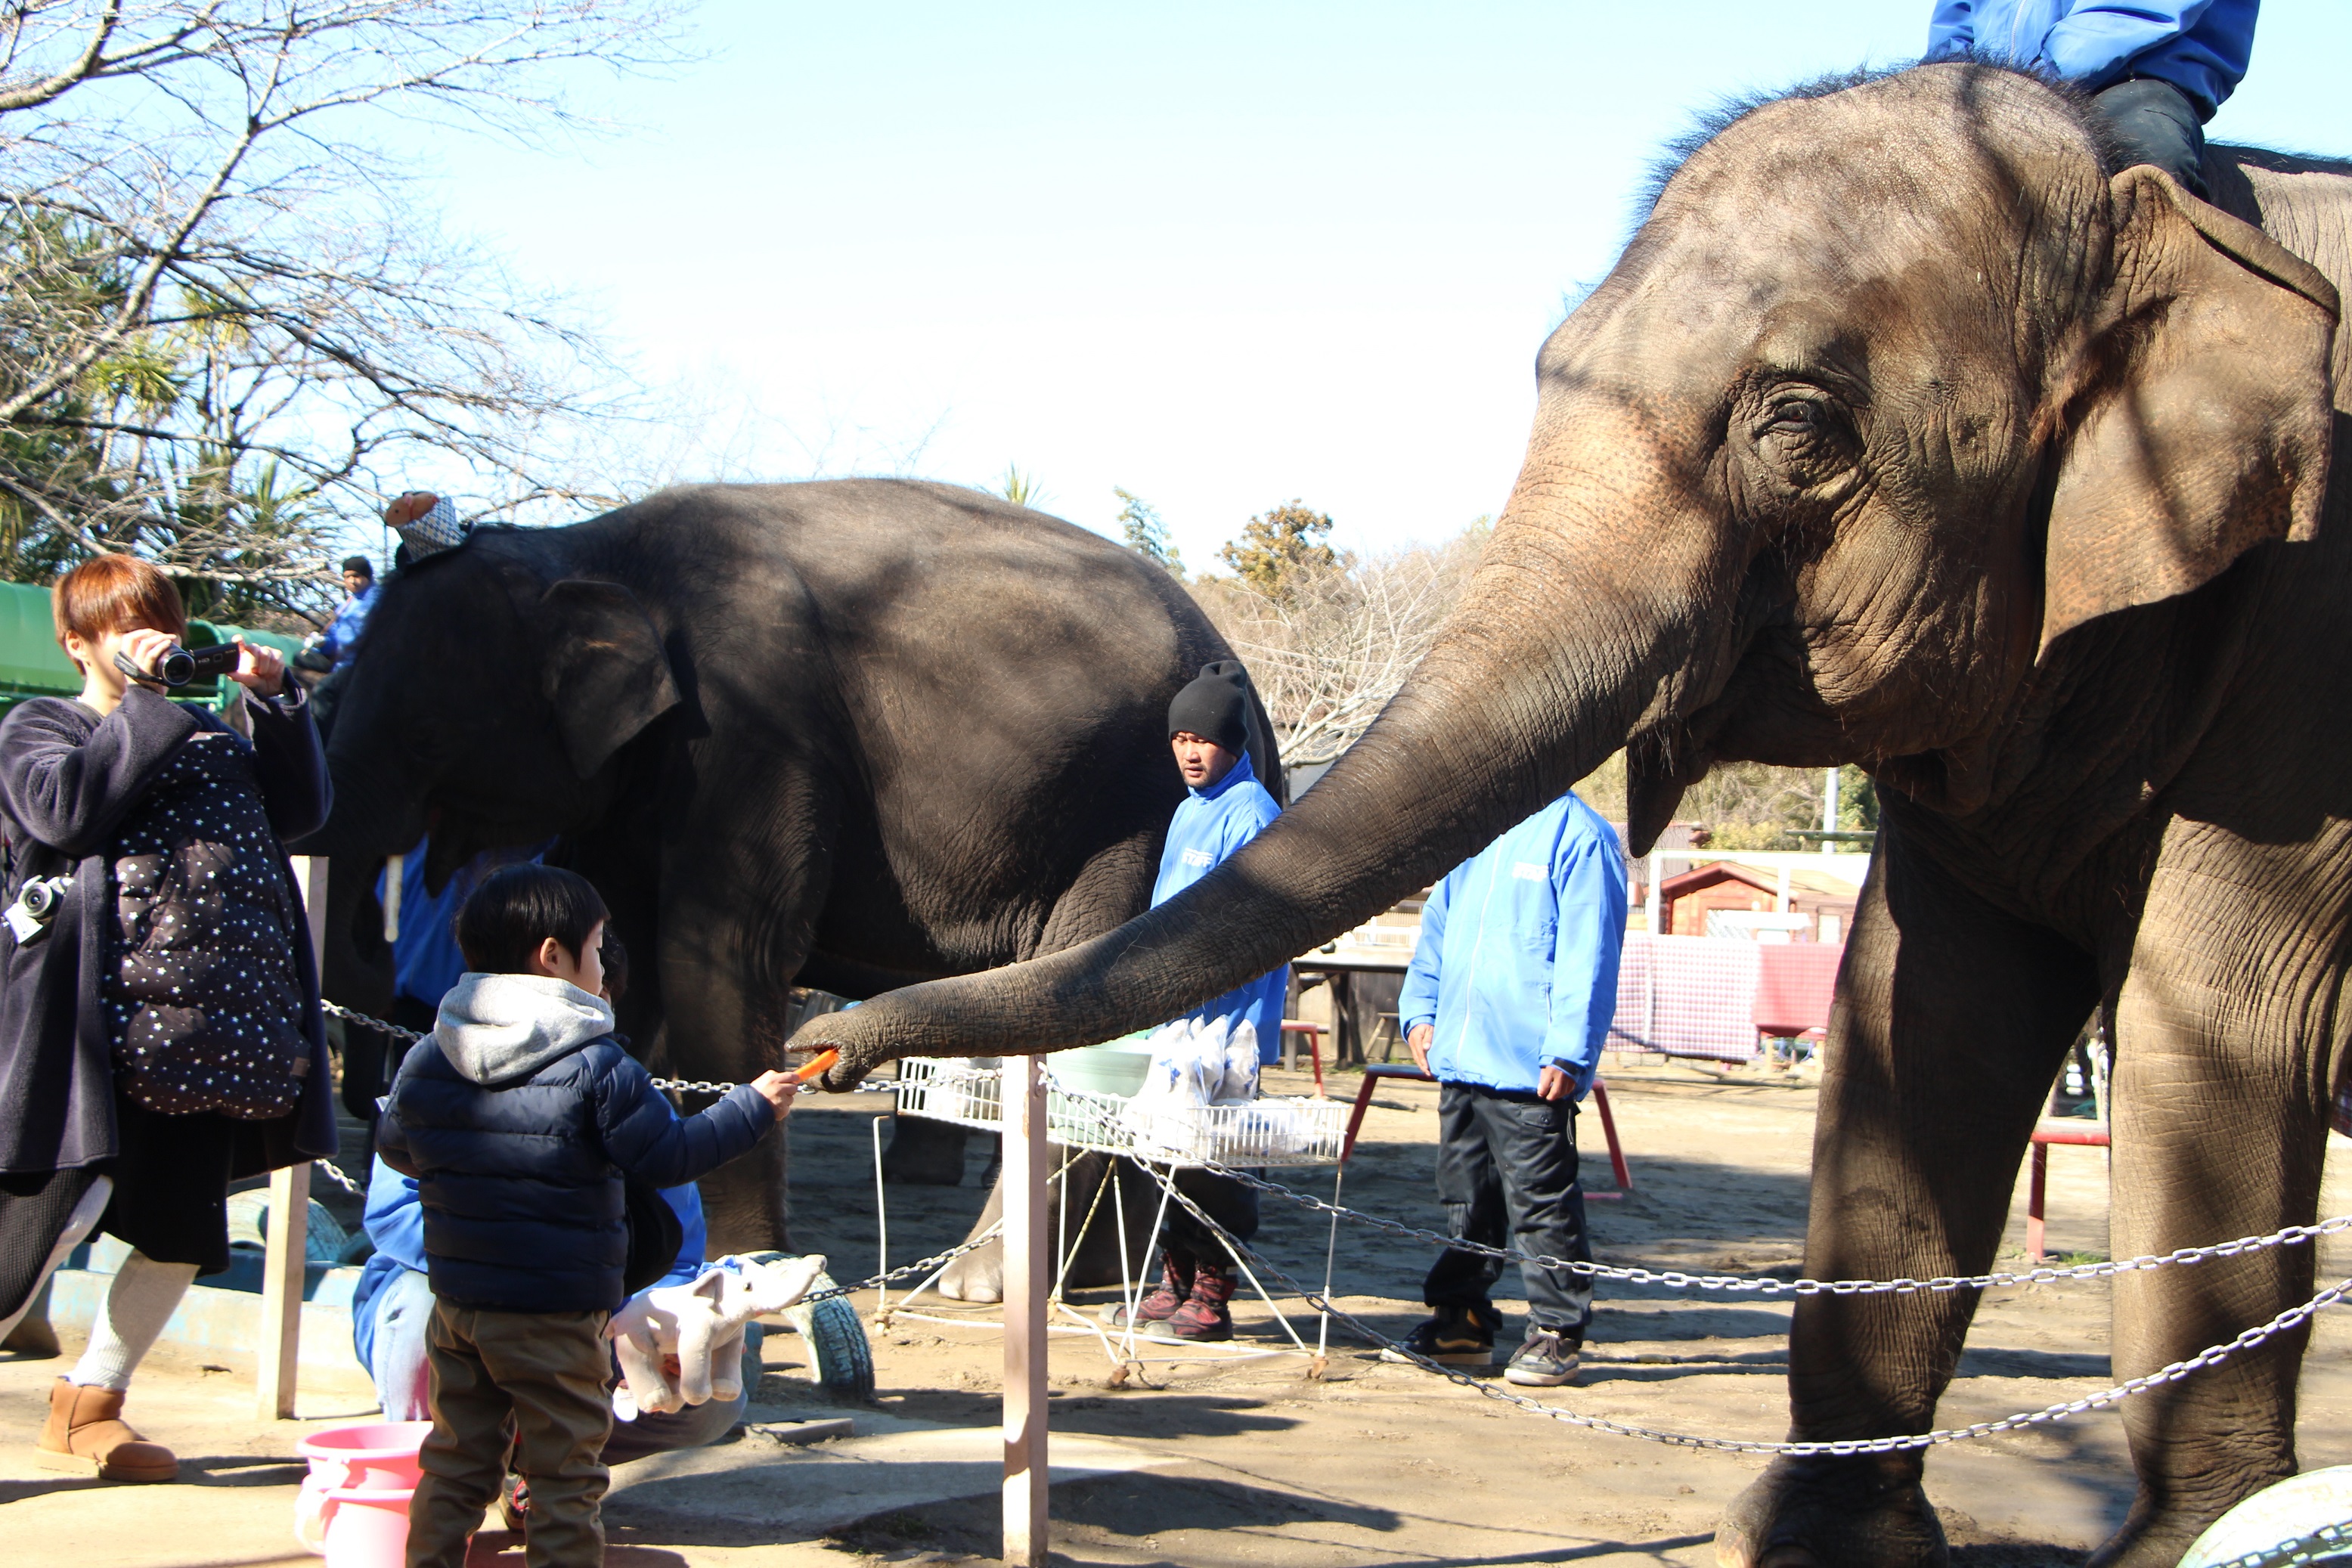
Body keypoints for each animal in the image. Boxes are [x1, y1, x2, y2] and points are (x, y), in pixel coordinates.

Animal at [301, 479, 1288, 1278]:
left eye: (426, 736)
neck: (587, 546)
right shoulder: (643, 779)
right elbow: (625, 962)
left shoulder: (753, 728)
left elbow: (720, 953)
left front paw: (747, 1264)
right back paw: (1091, 1282)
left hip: (1133, 820)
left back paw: (986, 1283)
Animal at [795, 64, 2352, 1568]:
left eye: (1798, 422)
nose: (821, 1047)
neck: (2161, 202)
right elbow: (1915, 1027)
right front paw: (1809, 1541)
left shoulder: (2295, 684)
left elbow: (2219, 1033)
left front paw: (2191, 1545)